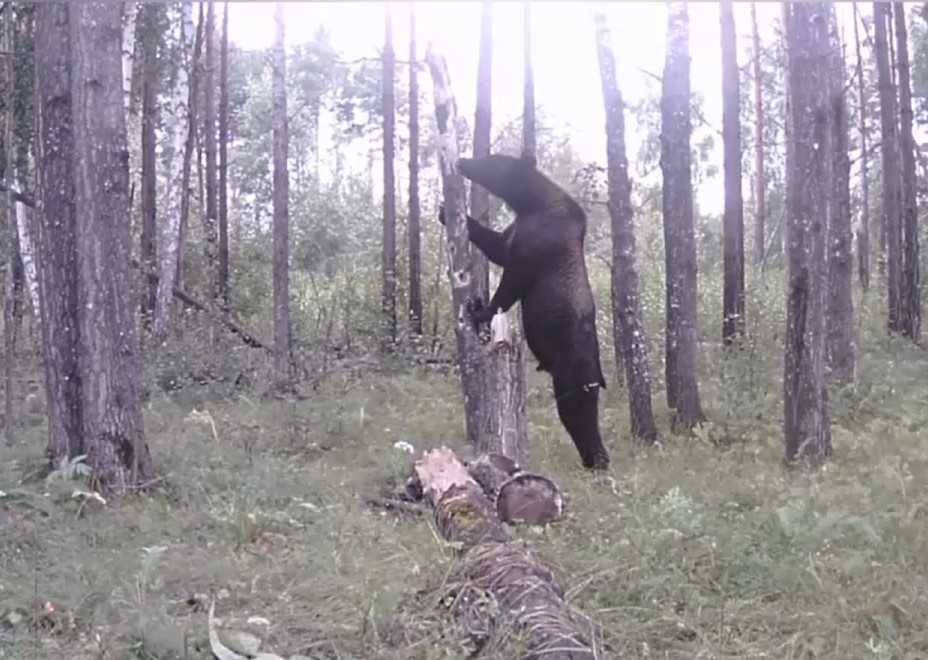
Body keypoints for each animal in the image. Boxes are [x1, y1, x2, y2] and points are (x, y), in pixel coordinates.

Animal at [437, 152, 609, 471]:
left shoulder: (534, 248)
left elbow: (509, 286)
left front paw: (479, 310)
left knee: (579, 414)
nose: (464, 160)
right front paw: (445, 211)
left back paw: (596, 461)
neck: (530, 203)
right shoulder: (512, 237)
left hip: (572, 370)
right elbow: (496, 246)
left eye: (492, 159)